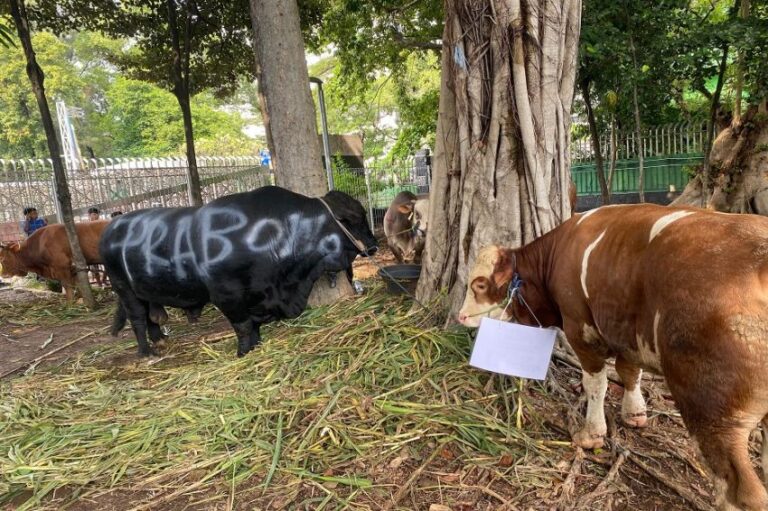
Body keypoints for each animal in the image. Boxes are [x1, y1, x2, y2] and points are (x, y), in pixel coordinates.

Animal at [102, 186, 378, 358]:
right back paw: (146, 351)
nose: (374, 244)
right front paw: (244, 352)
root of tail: (113, 226)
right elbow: (244, 326)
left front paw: (256, 346)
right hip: (123, 287)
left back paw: (159, 339)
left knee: (151, 316)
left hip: (143, 289)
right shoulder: (227, 296)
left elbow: (254, 326)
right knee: (138, 318)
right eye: (357, 218)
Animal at [460, 205, 768, 511]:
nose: (461, 316)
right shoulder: (626, 331)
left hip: (711, 411)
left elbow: (595, 383)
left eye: (480, 284)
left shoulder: (580, 327)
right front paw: (635, 413)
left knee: (740, 491)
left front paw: (591, 434)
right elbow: (629, 371)